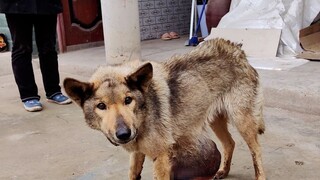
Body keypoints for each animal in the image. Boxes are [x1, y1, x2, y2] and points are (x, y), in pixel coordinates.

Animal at [63, 38, 266, 179]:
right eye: (101, 106)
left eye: (128, 100)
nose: (123, 134)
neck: (144, 116)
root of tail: (237, 50)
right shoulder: (137, 153)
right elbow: (132, 174)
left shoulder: (161, 157)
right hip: (215, 121)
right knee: (230, 143)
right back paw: (223, 171)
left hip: (242, 122)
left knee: (256, 150)